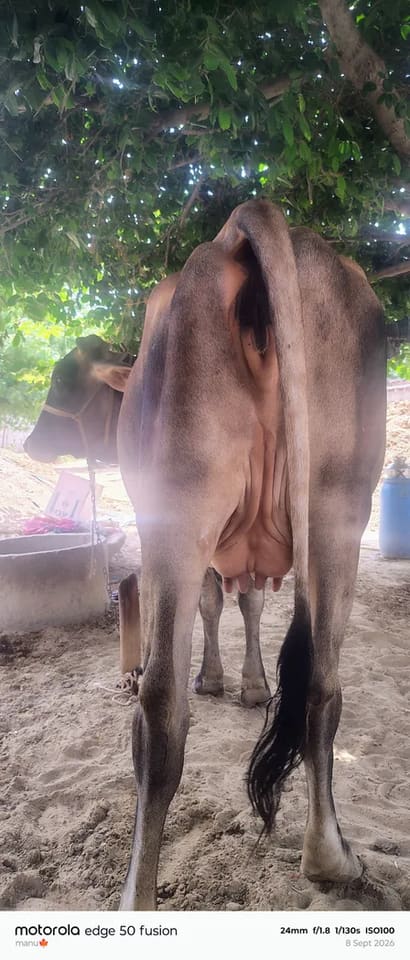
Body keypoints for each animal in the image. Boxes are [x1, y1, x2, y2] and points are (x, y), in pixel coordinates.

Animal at [85, 199, 385, 910]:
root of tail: (242, 226)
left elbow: (229, 606)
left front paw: (232, 682)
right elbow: (236, 606)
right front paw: (241, 683)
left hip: (182, 503)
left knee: (161, 705)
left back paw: (137, 901)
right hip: (337, 504)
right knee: (322, 680)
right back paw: (330, 857)